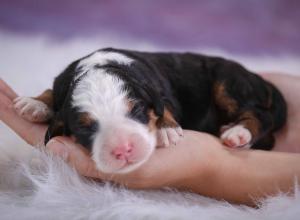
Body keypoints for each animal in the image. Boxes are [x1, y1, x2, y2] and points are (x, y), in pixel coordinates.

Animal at [13, 48, 286, 174]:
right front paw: (35, 103)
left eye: (136, 110)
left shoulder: (159, 90)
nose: (123, 149)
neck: (98, 65)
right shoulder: (63, 83)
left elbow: (164, 107)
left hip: (228, 82)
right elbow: (52, 91)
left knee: (261, 117)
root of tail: (259, 79)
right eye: (85, 128)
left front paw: (167, 130)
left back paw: (237, 133)